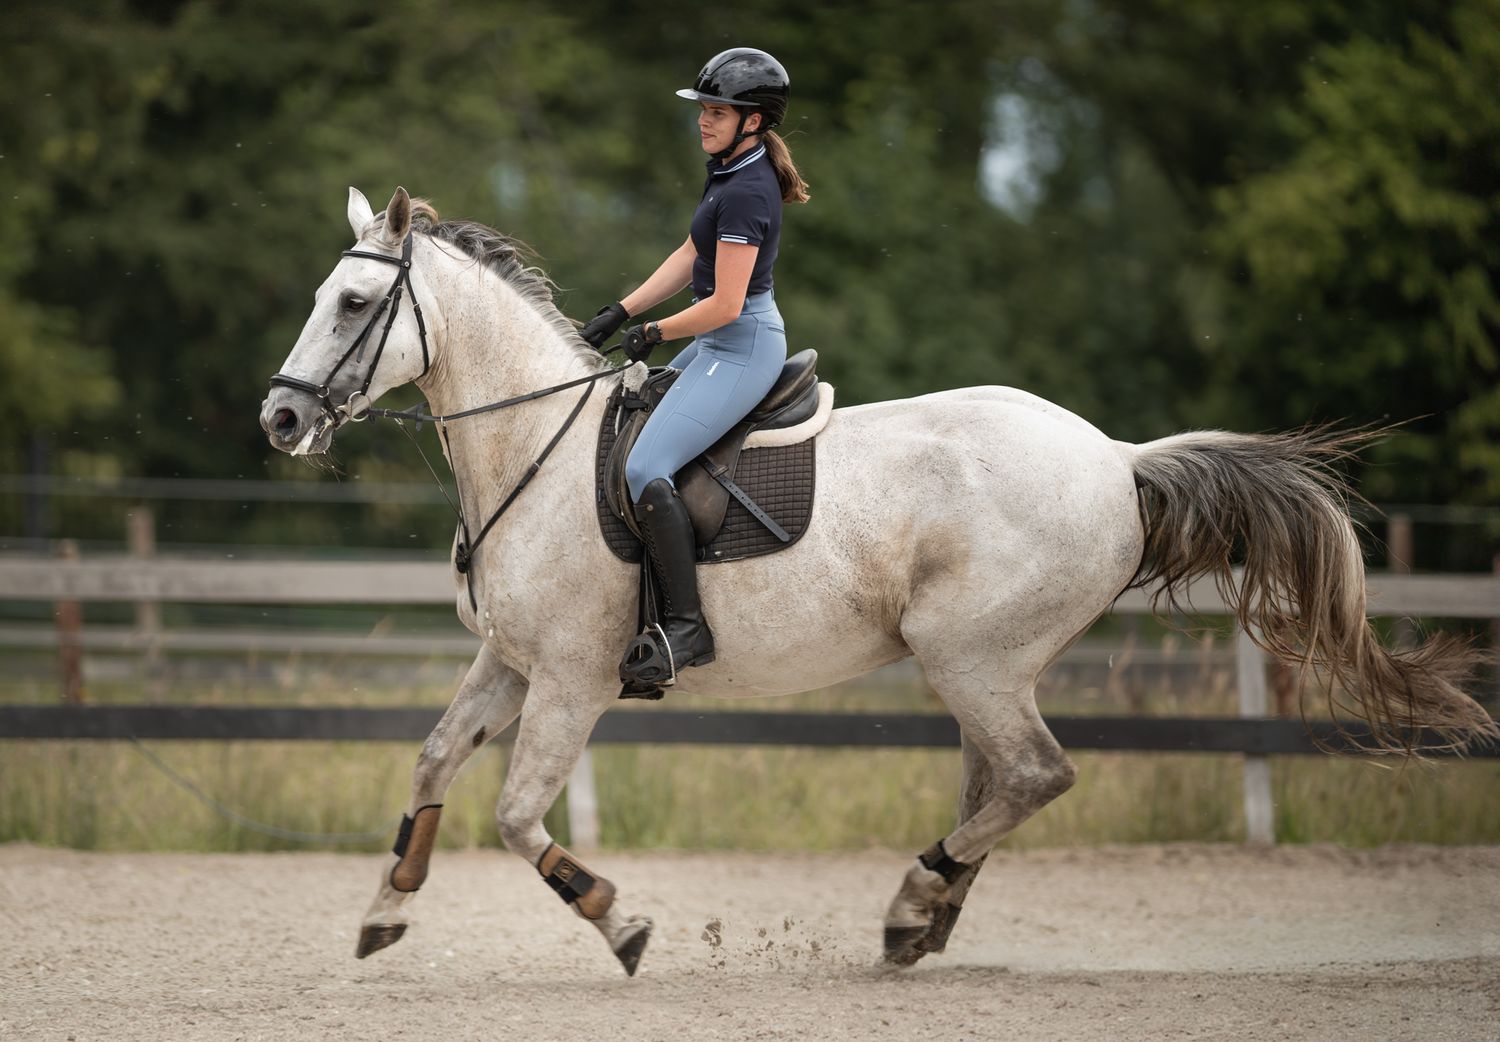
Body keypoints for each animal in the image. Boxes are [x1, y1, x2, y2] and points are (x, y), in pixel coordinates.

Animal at [260, 186, 1496, 976]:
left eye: (356, 306)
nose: (280, 418)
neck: (537, 450)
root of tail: (1115, 457)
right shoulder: (510, 662)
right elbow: (431, 763)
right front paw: (383, 913)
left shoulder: (571, 677)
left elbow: (519, 815)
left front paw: (621, 923)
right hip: (985, 665)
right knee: (999, 780)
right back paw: (925, 918)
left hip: (970, 655)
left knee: (1034, 773)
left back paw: (913, 903)